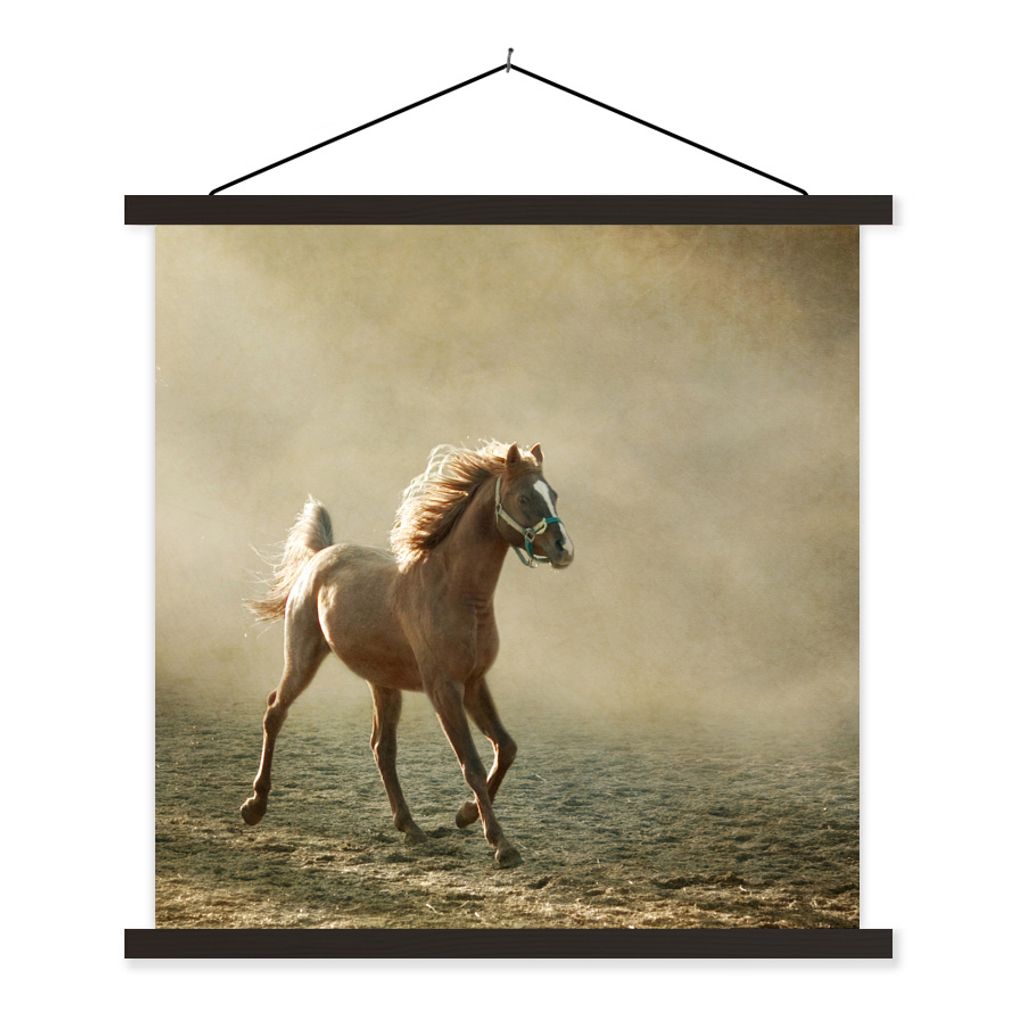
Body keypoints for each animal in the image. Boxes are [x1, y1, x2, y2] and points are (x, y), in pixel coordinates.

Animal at [240, 441, 574, 867]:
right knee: (275, 711)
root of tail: (320, 556)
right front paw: (501, 844)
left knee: (382, 748)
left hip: (382, 683)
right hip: (303, 658)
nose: (564, 550)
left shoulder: (473, 683)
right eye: (525, 497)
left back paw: (410, 827)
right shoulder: (444, 689)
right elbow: (472, 765)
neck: (455, 592)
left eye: (554, 494)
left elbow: (507, 747)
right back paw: (255, 806)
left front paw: (465, 815)